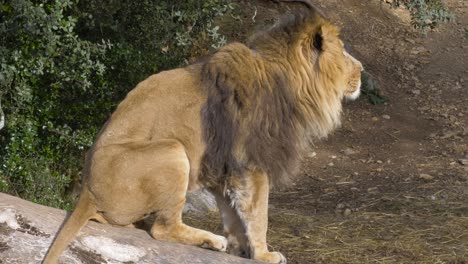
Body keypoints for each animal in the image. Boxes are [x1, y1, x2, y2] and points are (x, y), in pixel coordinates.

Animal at [44, 1, 364, 262]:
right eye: (343, 50)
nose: (361, 69)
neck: (288, 82)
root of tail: (87, 190)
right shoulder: (252, 161)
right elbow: (259, 213)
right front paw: (264, 254)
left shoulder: (223, 165)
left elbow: (233, 213)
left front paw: (240, 249)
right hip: (172, 151)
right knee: (163, 229)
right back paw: (211, 240)